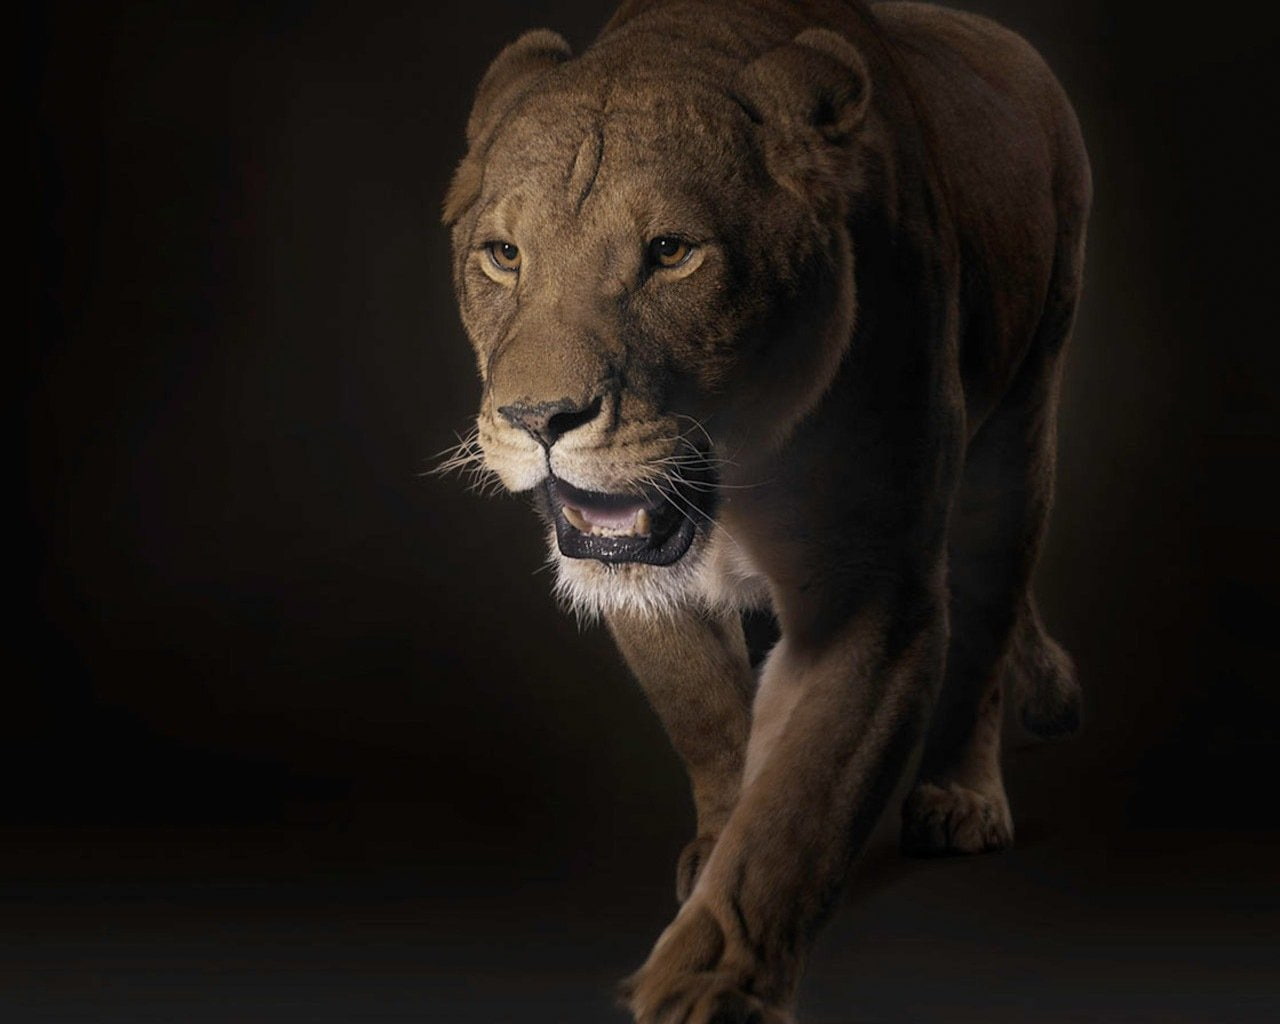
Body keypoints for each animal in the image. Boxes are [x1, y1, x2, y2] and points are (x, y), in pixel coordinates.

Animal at [442, 0, 1090, 1020]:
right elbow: (710, 720)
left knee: (988, 615)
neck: (736, 474)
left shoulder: (872, 595)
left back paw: (960, 797)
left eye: (671, 254)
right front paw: (714, 845)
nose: (538, 419)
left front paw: (708, 983)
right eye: (504, 255)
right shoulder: (646, 590)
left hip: (1023, 422)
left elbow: (799, 806)